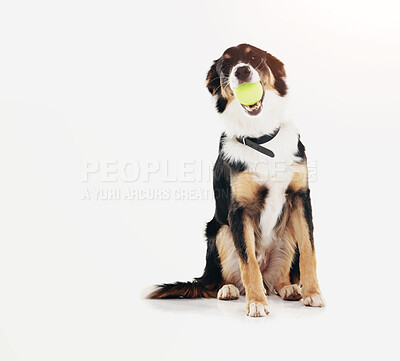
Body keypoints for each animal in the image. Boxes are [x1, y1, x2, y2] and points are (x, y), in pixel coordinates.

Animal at [148, 43, 324, 316]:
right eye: (227, 66)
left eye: (255, 58)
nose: (241, 71)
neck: (261, 139)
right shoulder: (238, 210)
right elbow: (248, 260)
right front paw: (256, 303)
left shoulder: (300, 197)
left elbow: (309, 250)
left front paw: (312, 293)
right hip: (220, 230)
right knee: (226, 279)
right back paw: (229, 290)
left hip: (287, 233)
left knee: (278, 278)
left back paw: (288, 288)